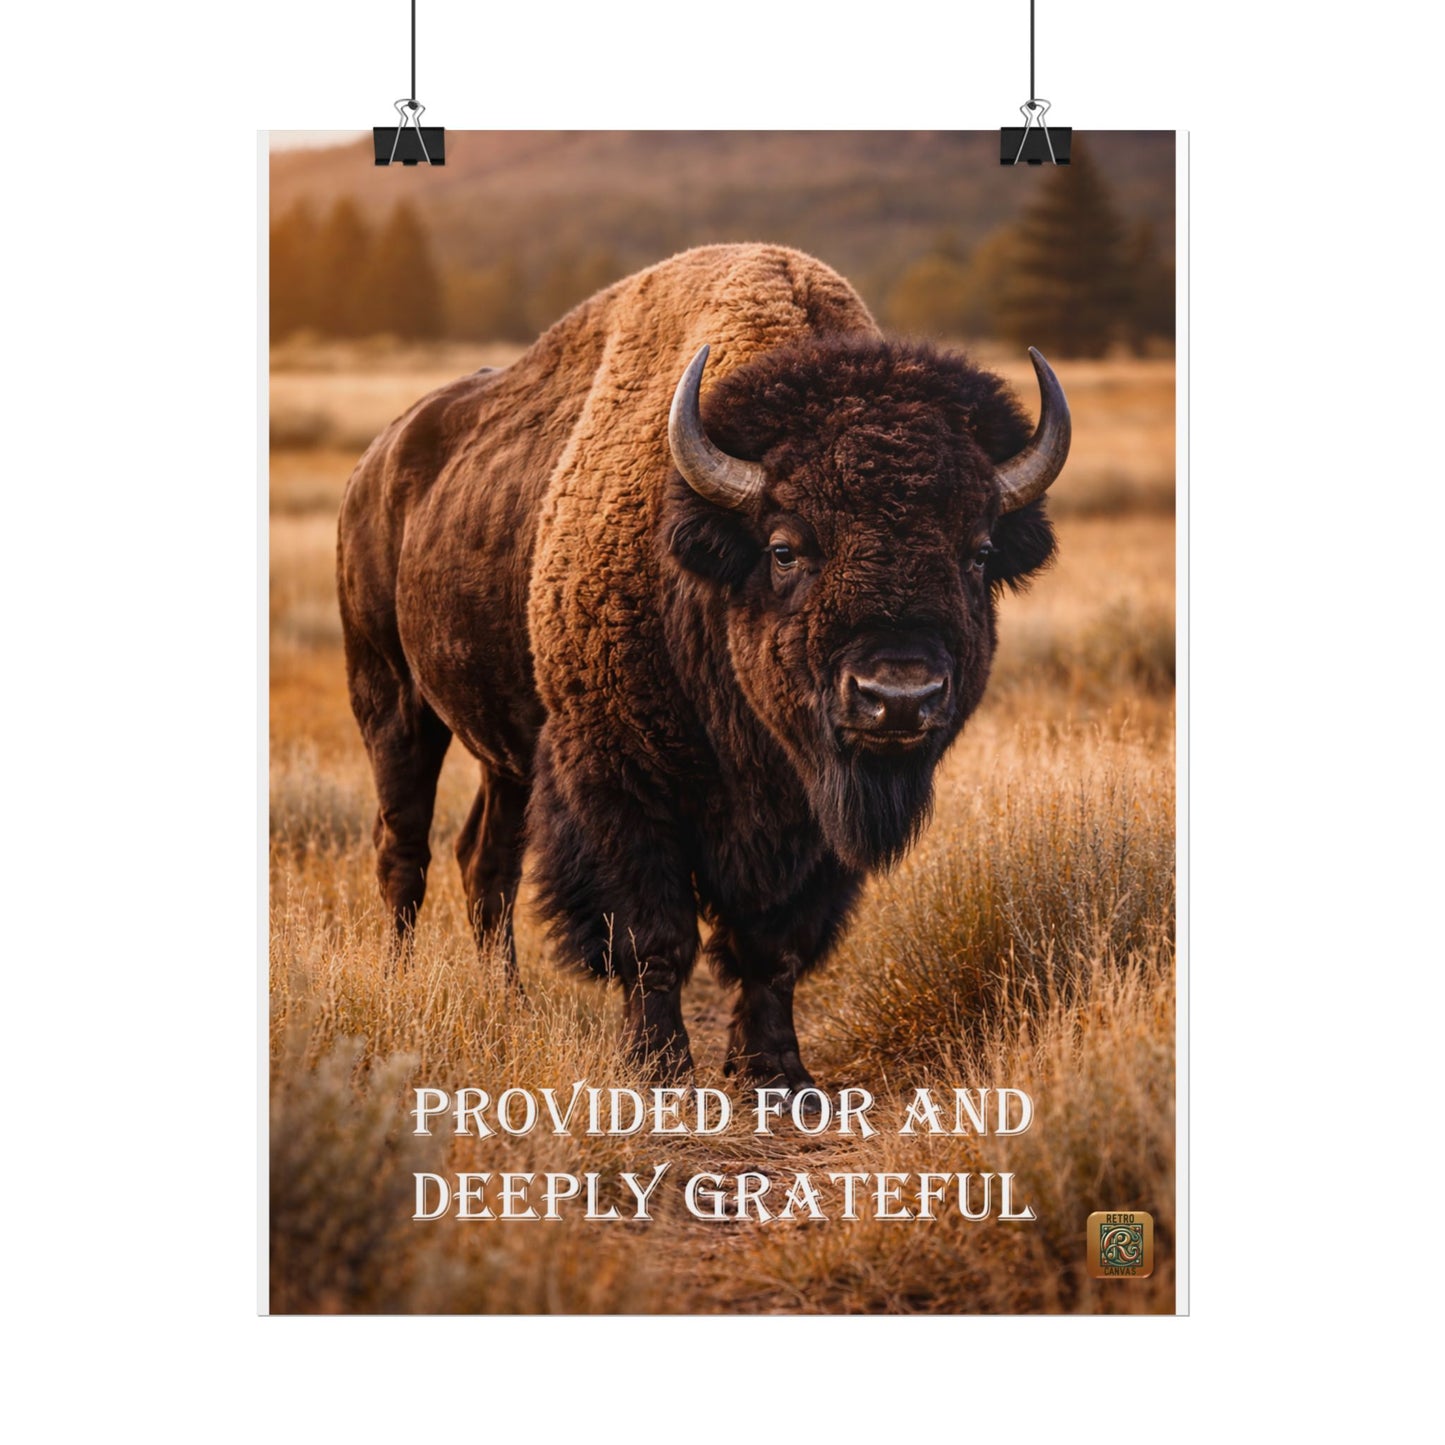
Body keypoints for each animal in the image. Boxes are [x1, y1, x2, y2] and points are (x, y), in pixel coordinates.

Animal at [337, 243, 1068, 1092]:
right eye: (785, 548)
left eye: (977, 551)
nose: (897, 697)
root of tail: (378, 461)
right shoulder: (617, 779)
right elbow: (653, 935)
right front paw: (658, 1067)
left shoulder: (807, 822)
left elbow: (773, 945)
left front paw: (779, 1073)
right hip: (390, 699)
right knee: (405, 850)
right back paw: (399, 982)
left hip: (506, 754)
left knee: (484, 861)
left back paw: (507, 1000)